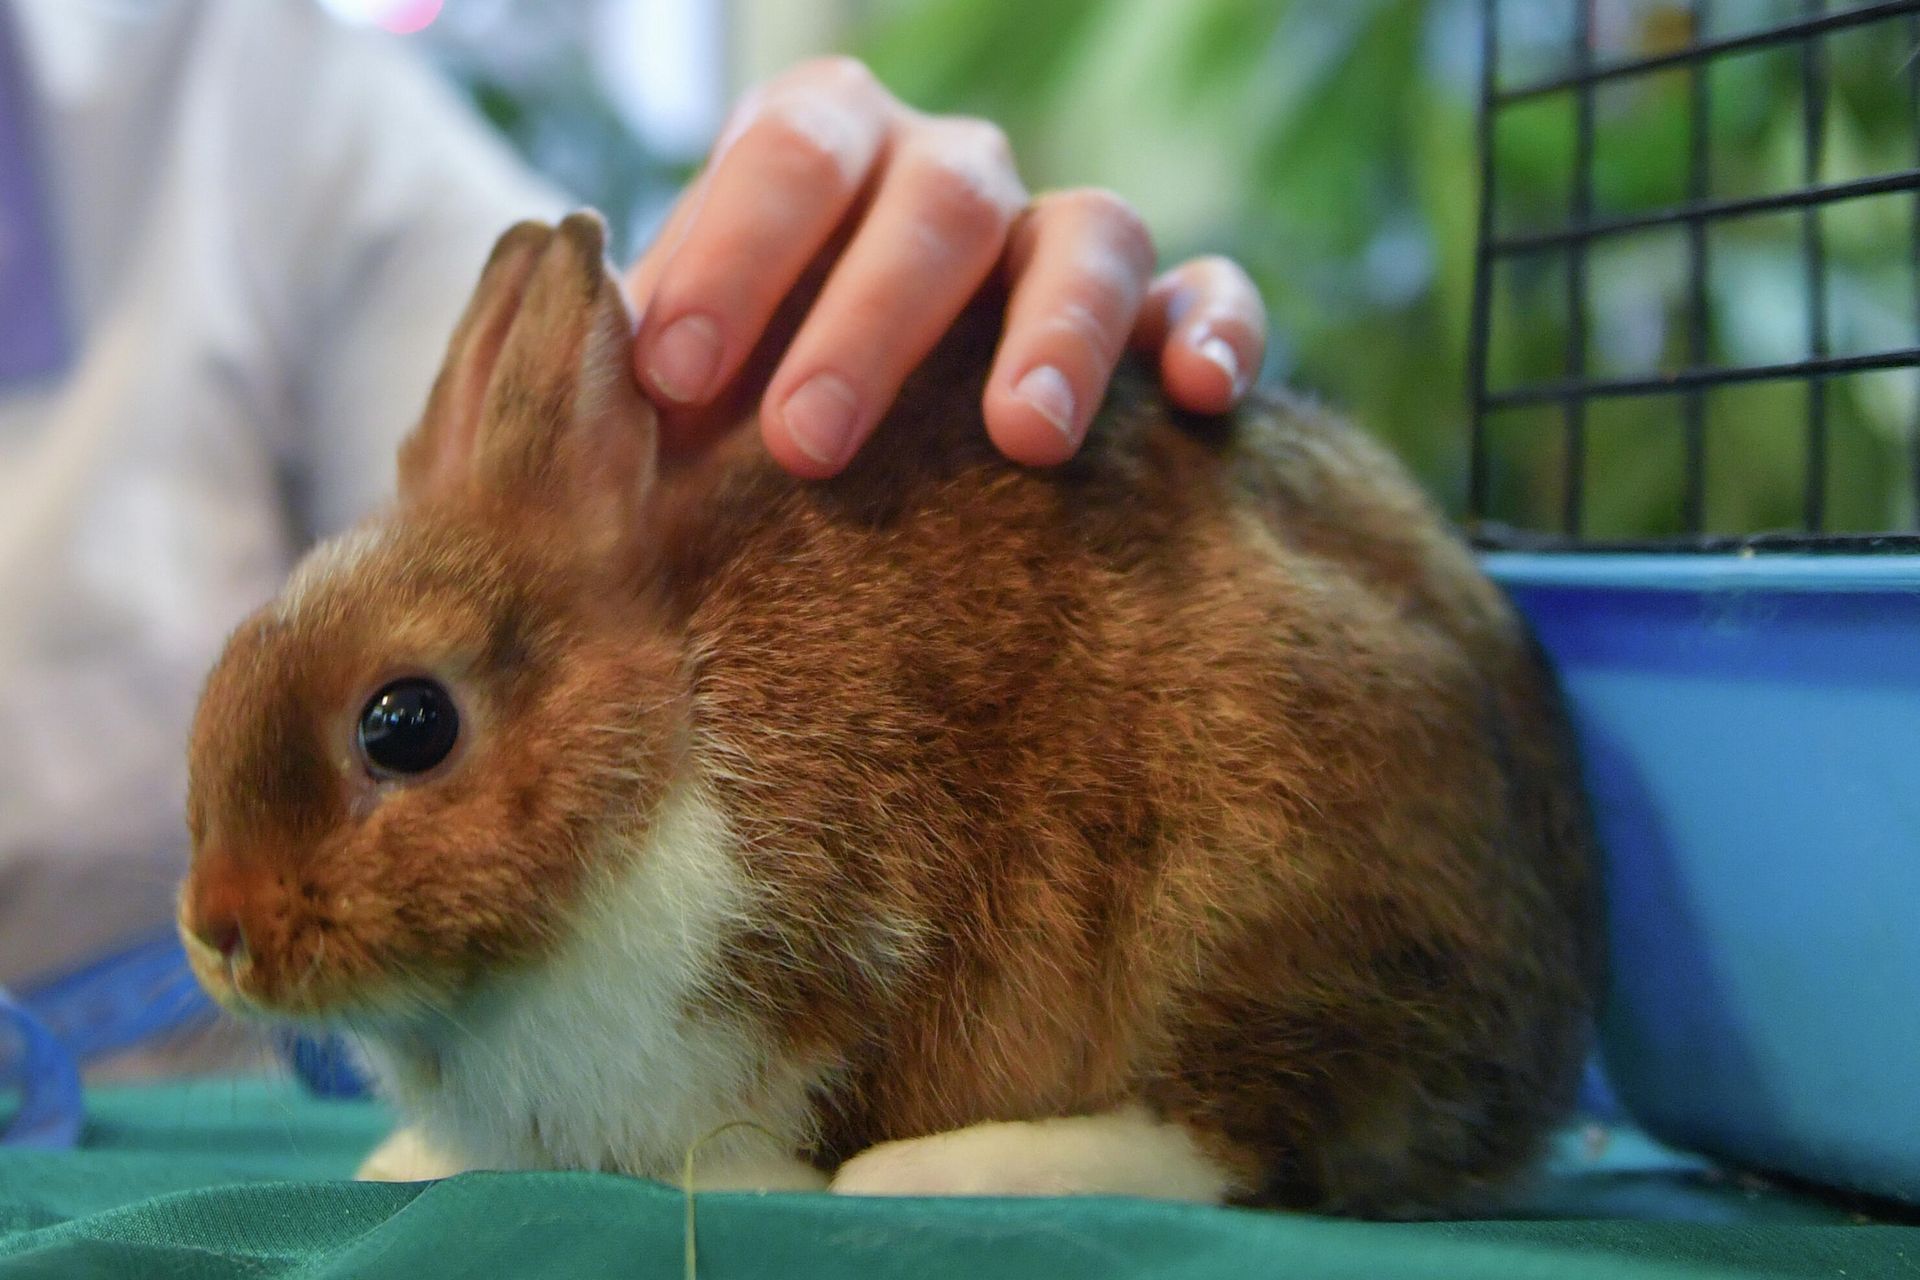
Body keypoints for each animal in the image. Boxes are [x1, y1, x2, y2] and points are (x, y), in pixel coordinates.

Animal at [178, 210, 1598, 1215]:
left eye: (405, 724)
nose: (219, 930)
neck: (662, 745)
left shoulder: (823, 964)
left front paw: (755, 1179)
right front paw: (406, 1158)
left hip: (1254, 887)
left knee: (1235, 1136)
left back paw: (942, 1170)